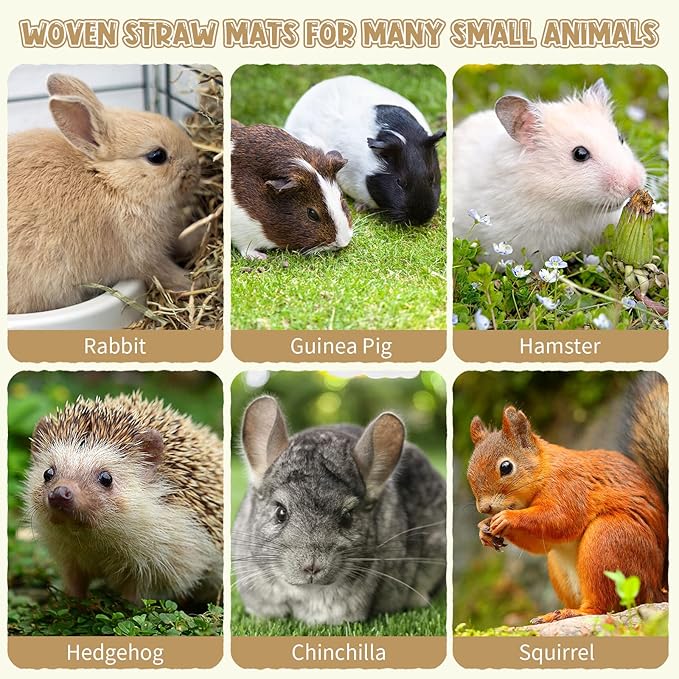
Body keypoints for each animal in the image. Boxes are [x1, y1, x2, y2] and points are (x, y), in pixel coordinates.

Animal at [8, 73, 201, 314]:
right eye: (157, 156)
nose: (196, 172)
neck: (112, 182)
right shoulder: (143, 257)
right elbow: (166, 272)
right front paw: (193, 281)